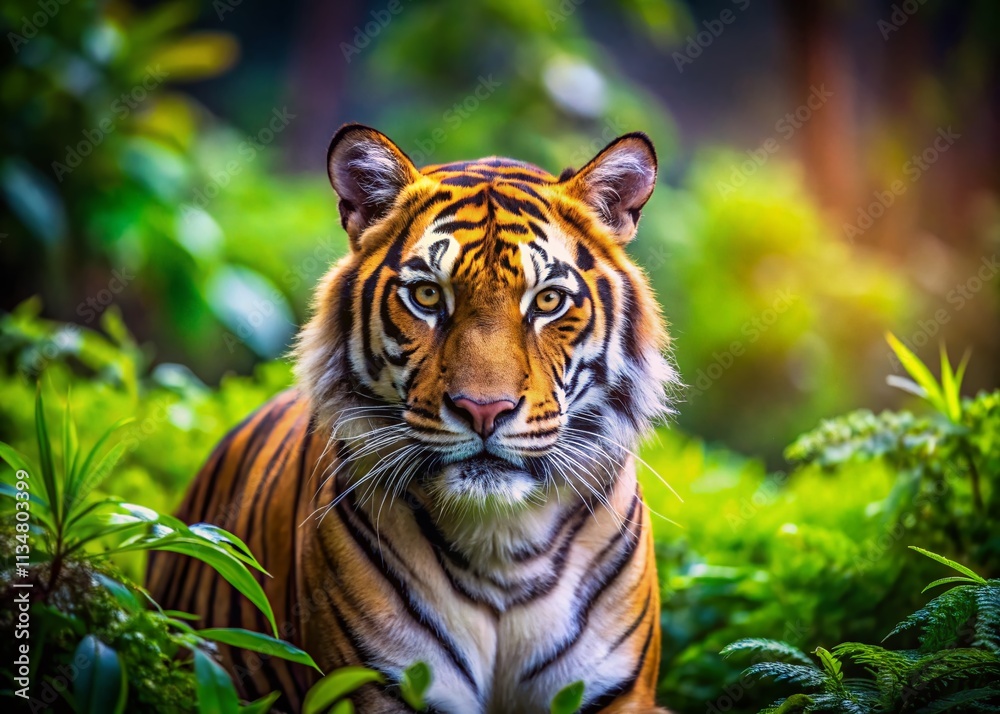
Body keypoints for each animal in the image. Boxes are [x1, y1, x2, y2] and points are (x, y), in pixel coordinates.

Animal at [147, 124, 677, 713]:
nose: (484, 409)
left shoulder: (615, 694)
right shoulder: (374, 686)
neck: (502, 548)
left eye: (547, 301)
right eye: (426, 295)